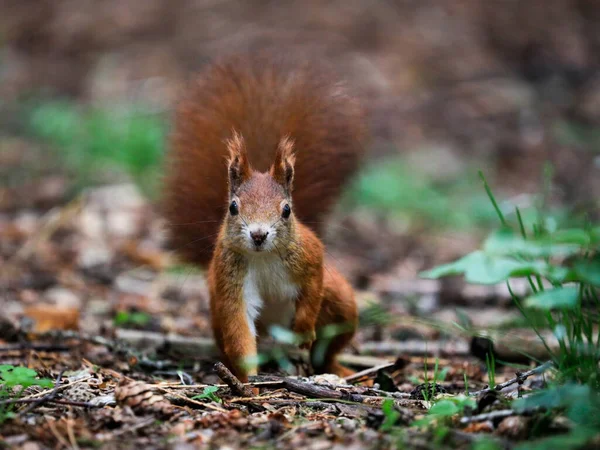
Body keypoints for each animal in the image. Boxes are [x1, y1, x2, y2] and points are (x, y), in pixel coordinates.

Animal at [163, 52, 366, 384]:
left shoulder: (311, 257)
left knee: (329, 346)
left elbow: (312, 289)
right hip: (215, 308)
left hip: (340, 302)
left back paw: (335, 367)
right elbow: (240, 331)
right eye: (233, 207)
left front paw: (304, 329)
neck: (263, 257)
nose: (258, 235)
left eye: (287, 210)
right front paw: (249, 383)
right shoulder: (230, 281)